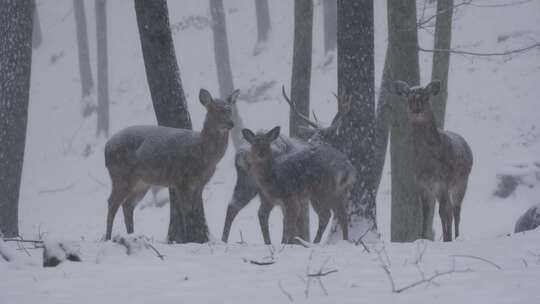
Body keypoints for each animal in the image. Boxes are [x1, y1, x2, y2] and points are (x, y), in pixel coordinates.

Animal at [104, 89, 239, 241]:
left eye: (229, 109)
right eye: (215, 110)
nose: (231, 123)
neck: (203, 154)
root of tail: (106, 147)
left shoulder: (200, 183)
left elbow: (194, 211)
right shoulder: (181, 180)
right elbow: (186, 212)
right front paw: (187, 238)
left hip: (142, 183)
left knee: (127, 205)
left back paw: (131, 235)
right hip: (121, 174)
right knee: (112, 202)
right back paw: (108, 237)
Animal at [392, 81, 472, 242]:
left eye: (426, 97)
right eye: (409, 98)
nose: (416, 109)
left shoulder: (442, 182)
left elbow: (442, 212)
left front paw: (446, 238)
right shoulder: (422, 185)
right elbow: (426, 214)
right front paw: (423, 238)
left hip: (461, 182)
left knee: (456, 211)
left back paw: (456, 237)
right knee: (450, 210)